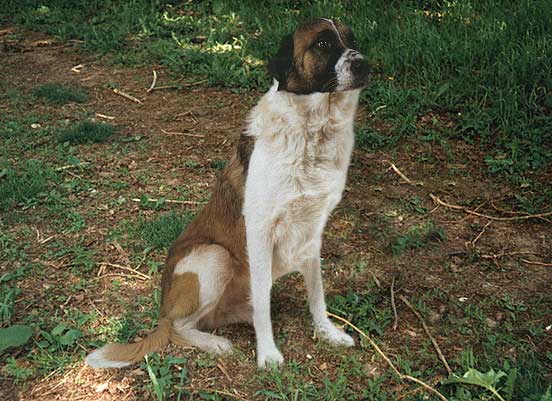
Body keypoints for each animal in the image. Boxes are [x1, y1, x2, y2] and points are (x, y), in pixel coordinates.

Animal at [86, 18, 368, 368]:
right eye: (323, 44)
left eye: (352, 40)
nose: (364, 64)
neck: (313, 134)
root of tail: (162, 309)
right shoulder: (259, 231)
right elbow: (262, 301)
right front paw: (268, 353)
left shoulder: (312, 232)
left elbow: (317, 294)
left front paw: (327, 332)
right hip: (214, 256)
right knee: (179, 327)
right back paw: (215, 343)